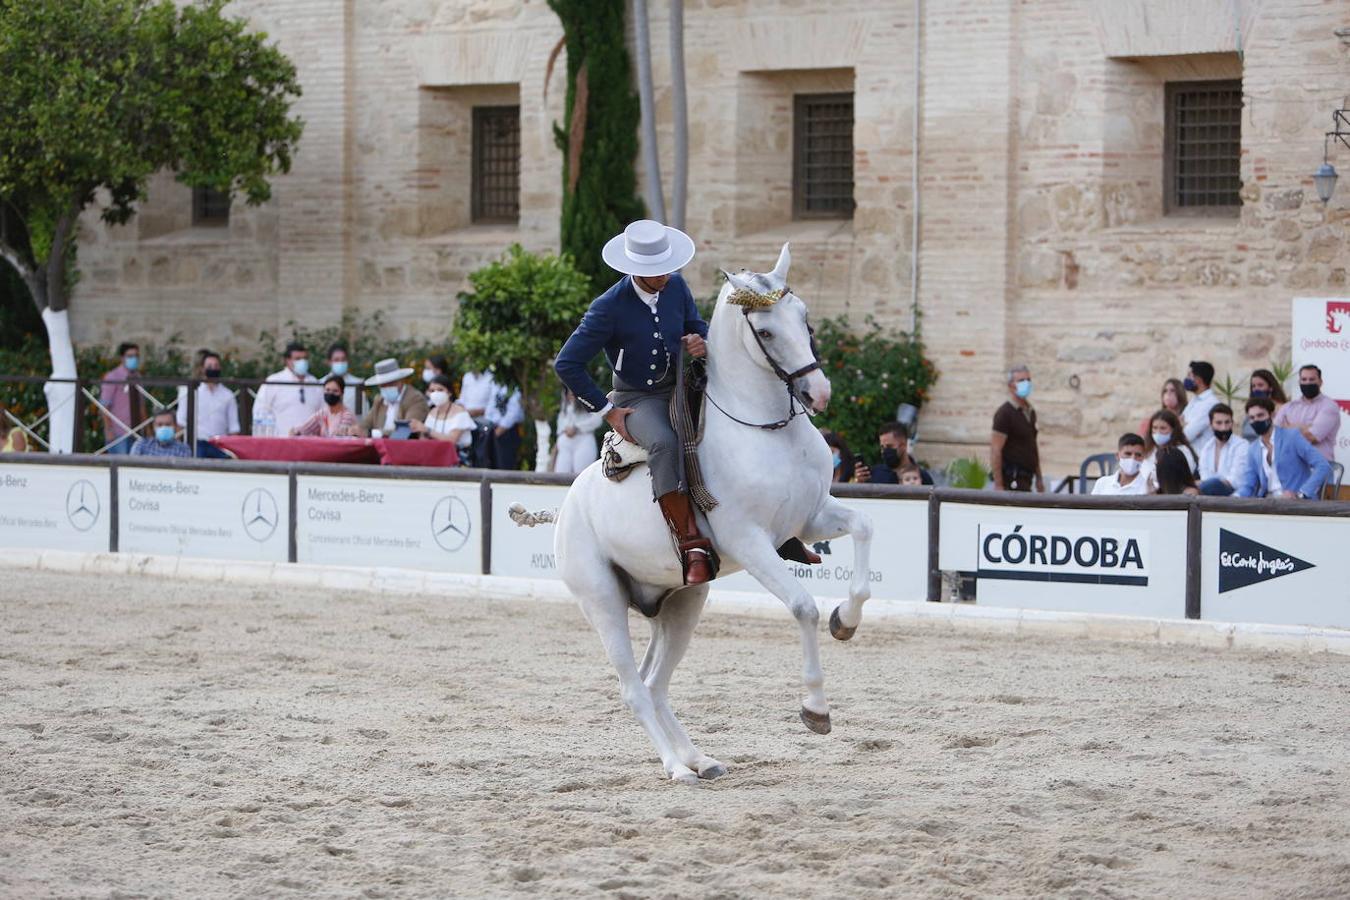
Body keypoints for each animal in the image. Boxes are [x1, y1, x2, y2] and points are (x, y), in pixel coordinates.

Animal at [531, 242, 869, 782]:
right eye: (766, 331)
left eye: (804, 317)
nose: (818, 394)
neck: (765, 430)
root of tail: (564, 512)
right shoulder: (749, 541)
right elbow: (803, 606)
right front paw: (815, 709)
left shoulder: (808, 518)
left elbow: (863, 528)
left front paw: (847, 619)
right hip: (602, 602)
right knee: (633, 689)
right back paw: (677, 767)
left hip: (682, 603)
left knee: (654, 683)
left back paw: (700, 759)